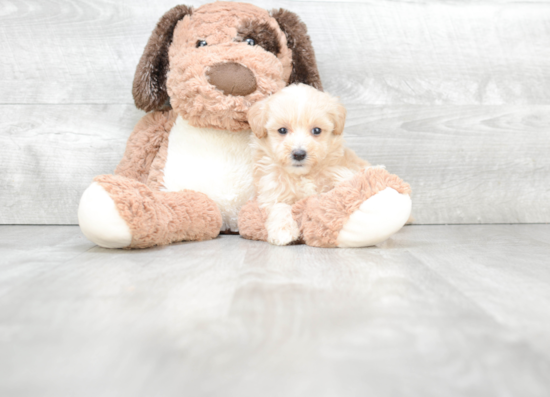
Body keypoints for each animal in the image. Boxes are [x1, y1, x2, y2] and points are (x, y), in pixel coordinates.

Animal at [249, 83, 370, 244]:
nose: (299, 154)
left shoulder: (339, 171)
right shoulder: (272, 189)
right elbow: (279, 207)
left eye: (316, 130)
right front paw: (283, 231)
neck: (302, 175)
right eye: (282, 130)